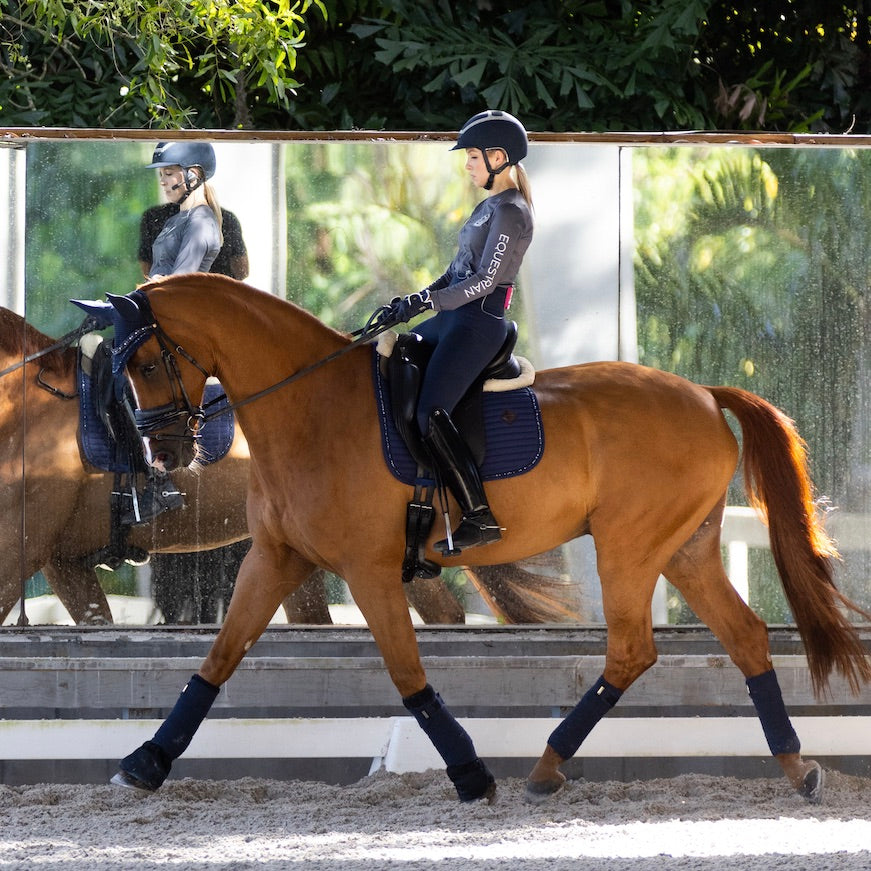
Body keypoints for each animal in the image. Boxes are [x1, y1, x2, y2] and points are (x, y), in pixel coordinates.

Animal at [93, 278, 871, 804]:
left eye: (150, 363)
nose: (165, 453)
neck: (311, 408)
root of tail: (706, 395)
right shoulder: (273, 556)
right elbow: (217, 659)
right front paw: (145, 763)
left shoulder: (371, 569)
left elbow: (408, 676)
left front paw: (469, 773)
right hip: (684, 549)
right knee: (742, 637)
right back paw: (796, 767)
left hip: (629, 547)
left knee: (632, 650)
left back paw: (548, 765)